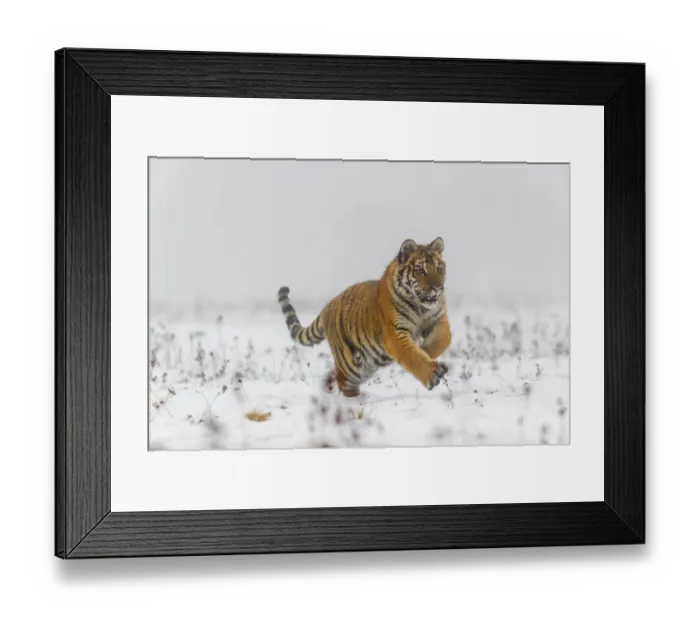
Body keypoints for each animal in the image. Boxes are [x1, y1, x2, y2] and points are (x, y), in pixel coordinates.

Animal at [278, 237, 451, 397]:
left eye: (439, 268)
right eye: (421, 270)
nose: (437, 287)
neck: (420, 308)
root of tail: (329, 305)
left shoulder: (439, 321)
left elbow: (441, 341)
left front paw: (428, 354)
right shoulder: (395, 332)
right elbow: (412, 356)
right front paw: (431, 375)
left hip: (367, 365)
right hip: (350, 365)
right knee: (343, 382)